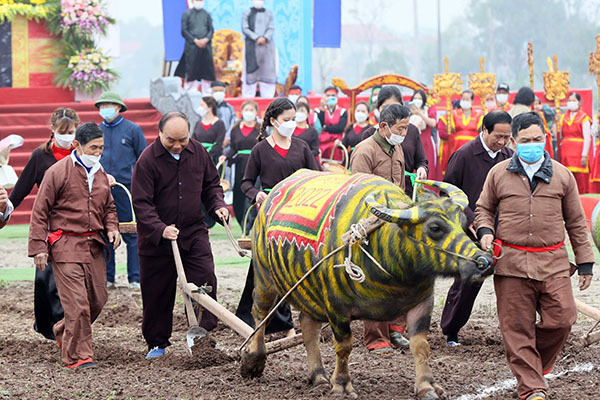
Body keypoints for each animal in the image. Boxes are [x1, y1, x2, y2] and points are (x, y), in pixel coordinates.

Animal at [240, 170, 492, 398]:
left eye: (463, 223)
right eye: (435, 228)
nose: (485, 262)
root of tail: (266, 203)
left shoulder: (423, 303)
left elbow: (420, 345)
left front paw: (426, 386)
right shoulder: (336, 307)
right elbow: (344, 347)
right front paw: (342, 385)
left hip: (307, 289)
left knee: (308, 326)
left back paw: (318, 375)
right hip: (265, 276)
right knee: (260, 314)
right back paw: (253, 361)